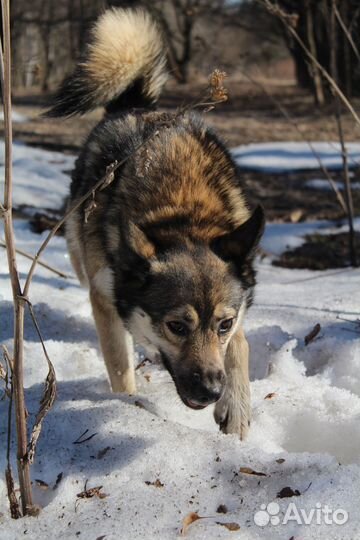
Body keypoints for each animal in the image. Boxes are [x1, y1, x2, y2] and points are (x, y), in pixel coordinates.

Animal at [46, 7, 262, 438]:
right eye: (177, 326)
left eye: (224, 324)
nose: (212, 391)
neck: (180, 212)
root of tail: (135, 104)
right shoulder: (104, 295)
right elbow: (119, 366)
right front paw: (128, 406)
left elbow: (240, 346)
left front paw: (236, 406)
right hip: (80, 257)